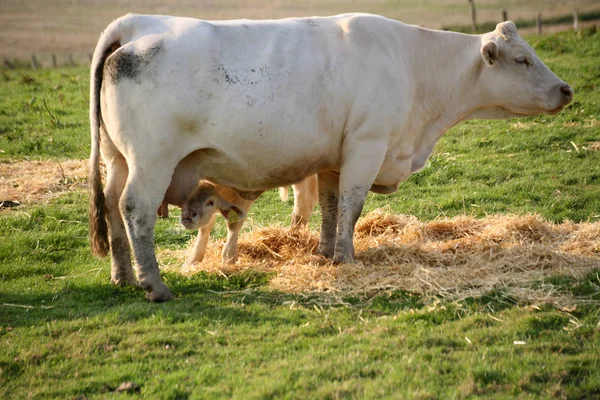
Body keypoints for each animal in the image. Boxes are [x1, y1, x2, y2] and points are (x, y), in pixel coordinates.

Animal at [88, 13, 572, 300]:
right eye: (522, 59)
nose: (566, 89)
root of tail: (137, 24)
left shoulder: (333, 160)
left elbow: (330, 204)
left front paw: (323, 252)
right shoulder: (367, 145)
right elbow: (353, 206)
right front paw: (346, 257)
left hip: (117, 160)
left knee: (111, 208)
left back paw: (122, 275)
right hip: (151, 161)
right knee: (135, 210)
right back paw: (154, 284)